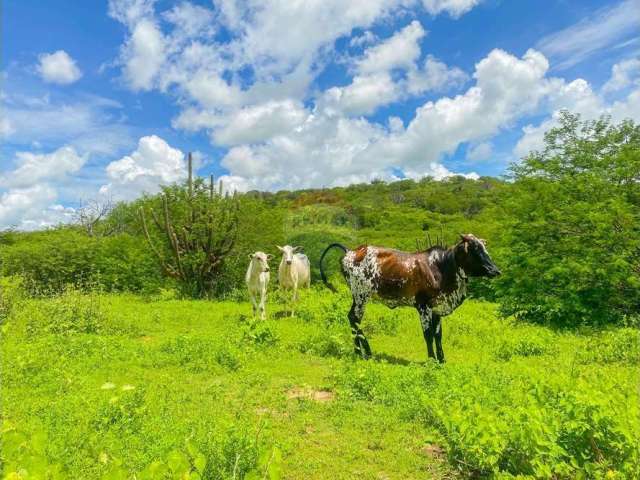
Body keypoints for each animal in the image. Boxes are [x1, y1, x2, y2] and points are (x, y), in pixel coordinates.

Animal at [320, 234, 500, 362]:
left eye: (484, 248)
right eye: (475, 249)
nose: (496, 270)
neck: (442, 266)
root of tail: (351, 251)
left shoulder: (437, 308)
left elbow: (438, 335)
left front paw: (442, 360)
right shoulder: (423, 306)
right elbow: (428, 334)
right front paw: (432, 360)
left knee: (354, 319)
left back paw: (364, 352)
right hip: (360, 295)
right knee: (354, 318)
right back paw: (361, 353)